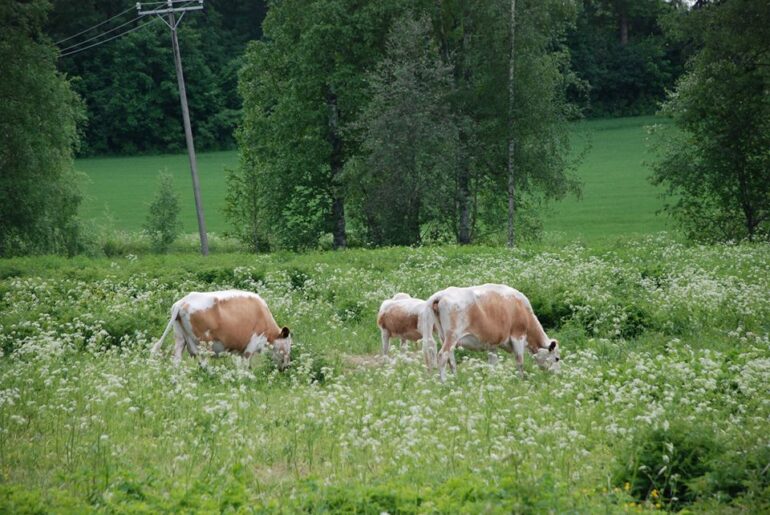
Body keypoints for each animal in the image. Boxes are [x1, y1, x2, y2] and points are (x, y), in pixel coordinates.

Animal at [150, 290, 292, 370]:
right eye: (289, 345)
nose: (286, 367)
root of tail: (182, 302)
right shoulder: (252, 342)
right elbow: (246, 365)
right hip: (204, 345)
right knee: (203, 363)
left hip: (180, 339)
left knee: (177, 360)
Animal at [420, 282, 560, 382]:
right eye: (557, 358)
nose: (557, 375)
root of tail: (441, 294)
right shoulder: (518, 336)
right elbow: (520, 361)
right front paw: (521, 380)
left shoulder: (493, 345)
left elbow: (493, 364)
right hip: (452, 336)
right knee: (442, 355)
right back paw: (444, 382)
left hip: (444, 336)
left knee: (451, 359)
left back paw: (456, 379)